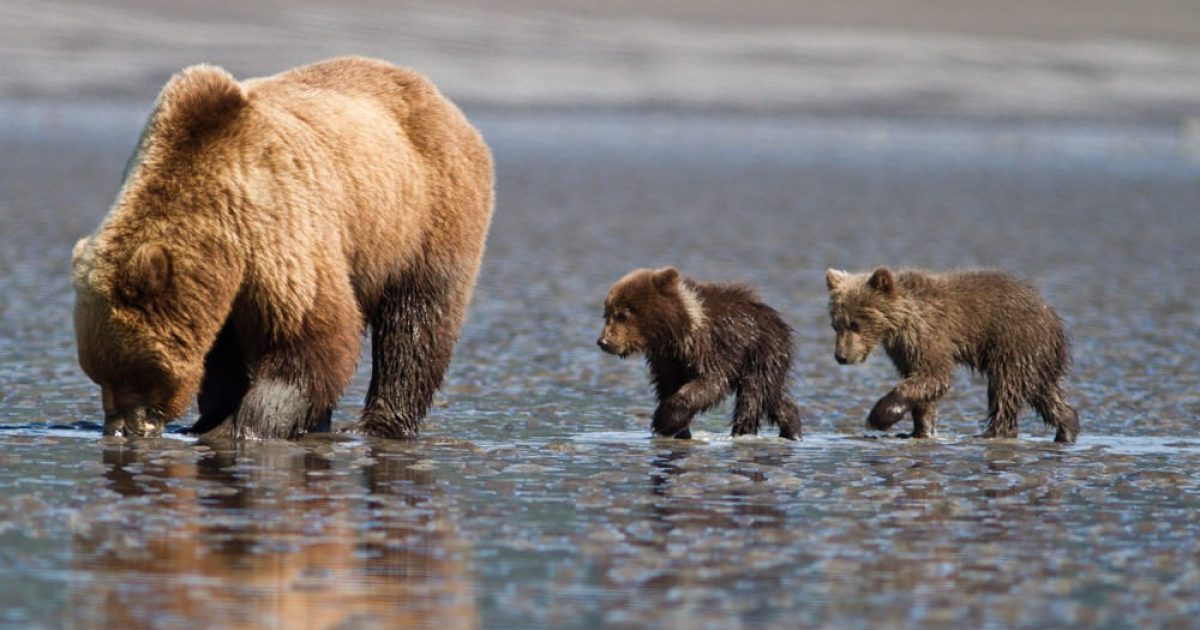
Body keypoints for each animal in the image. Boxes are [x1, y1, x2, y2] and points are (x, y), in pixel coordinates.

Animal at [71, 58, 492, 439]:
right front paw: (211, 419)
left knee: (415, 327)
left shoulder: (277, 226)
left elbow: (309, 335)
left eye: (135, 372)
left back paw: (378, 424)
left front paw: (242, 426)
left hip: (422, 216)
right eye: (97, 374)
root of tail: (441, 101)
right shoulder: (227, 285)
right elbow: (222, 357)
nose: (122, 429)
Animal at [597, 267, 801, 439]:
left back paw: (743, 432)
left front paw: (663, 420)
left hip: (762, 352)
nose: (603, 342)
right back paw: (792, 428)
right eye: (607, 314)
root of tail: (778, 320)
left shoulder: (711, 346)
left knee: (753, 396)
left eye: (622, 315)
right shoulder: (667, 360)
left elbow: (711, 381)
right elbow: (667, 385)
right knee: (774, 396)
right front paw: (679, 430)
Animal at [825, 265, 1080, 441]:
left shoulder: (929, 334)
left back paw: (991, 433)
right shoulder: (904, 350)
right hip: (1036, 357)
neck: (901, 322)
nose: (841, 357)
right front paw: (920, 430)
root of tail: (1053, 319)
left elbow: (934, 375)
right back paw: (1067, 426)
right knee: (1042, 392)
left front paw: (881, 416)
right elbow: (923, 385)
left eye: (855, 324)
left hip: (1014, 343)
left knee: (1006, 389)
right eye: (836, 325)